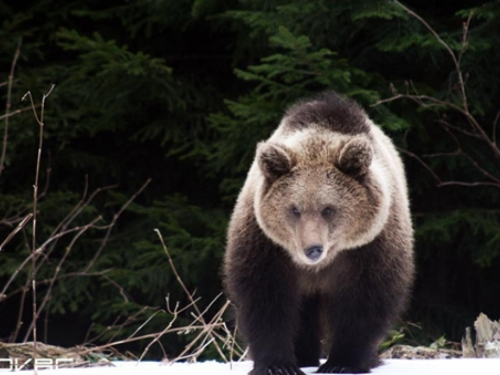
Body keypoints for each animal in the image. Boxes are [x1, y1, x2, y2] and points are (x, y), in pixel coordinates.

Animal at [223, 92, 414, 375]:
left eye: (328, 209)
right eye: (294, 209)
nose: (312, 249)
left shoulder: (371, 247)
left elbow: (364, 300)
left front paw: (342, 362)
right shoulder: (265, 245)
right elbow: (265, 298)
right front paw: (277, 364)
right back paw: (304, 355)